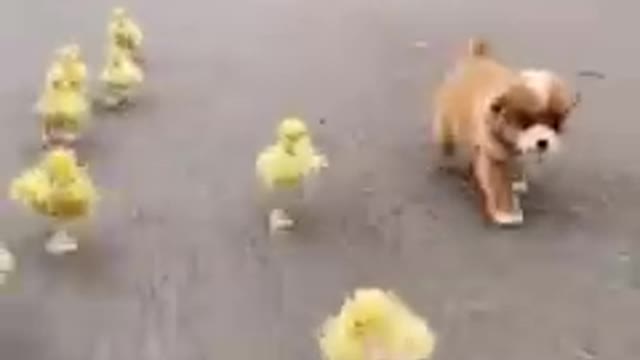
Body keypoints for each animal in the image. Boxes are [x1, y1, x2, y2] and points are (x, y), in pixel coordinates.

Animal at [436, 39, 576, 225]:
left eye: (554, 124)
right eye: (526, 123)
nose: (543, 142)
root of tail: (478, 56)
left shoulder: (514, 151)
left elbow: (515, 164)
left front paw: (516, 181)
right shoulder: (494, 155)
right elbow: (498, 183)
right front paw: (506, 213)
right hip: (449, 115)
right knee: (447, 133)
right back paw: (448, 154)